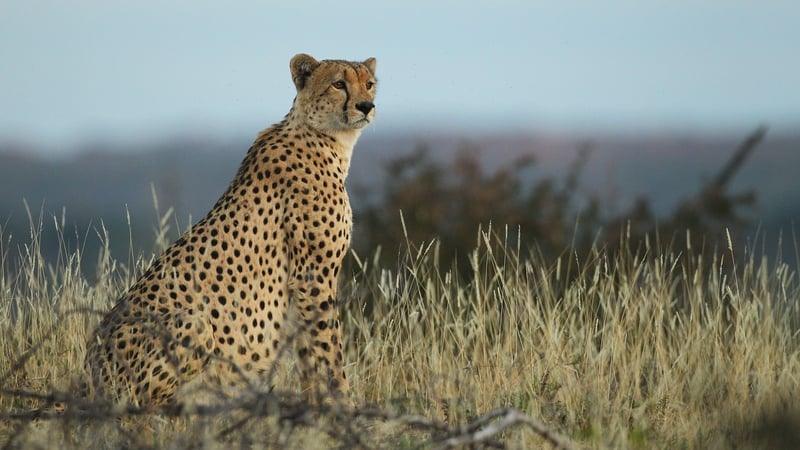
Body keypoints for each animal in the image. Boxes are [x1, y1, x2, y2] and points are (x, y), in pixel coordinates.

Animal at [83, 53, 377, 407]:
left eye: (369, 83)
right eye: (338, 84)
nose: (366, 106)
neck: (326, 137)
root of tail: (86, 372)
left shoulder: (304, 283)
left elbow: (310, 352)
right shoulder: (313, 276)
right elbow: (329, 349)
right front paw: (342, 405)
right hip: (191, 322)